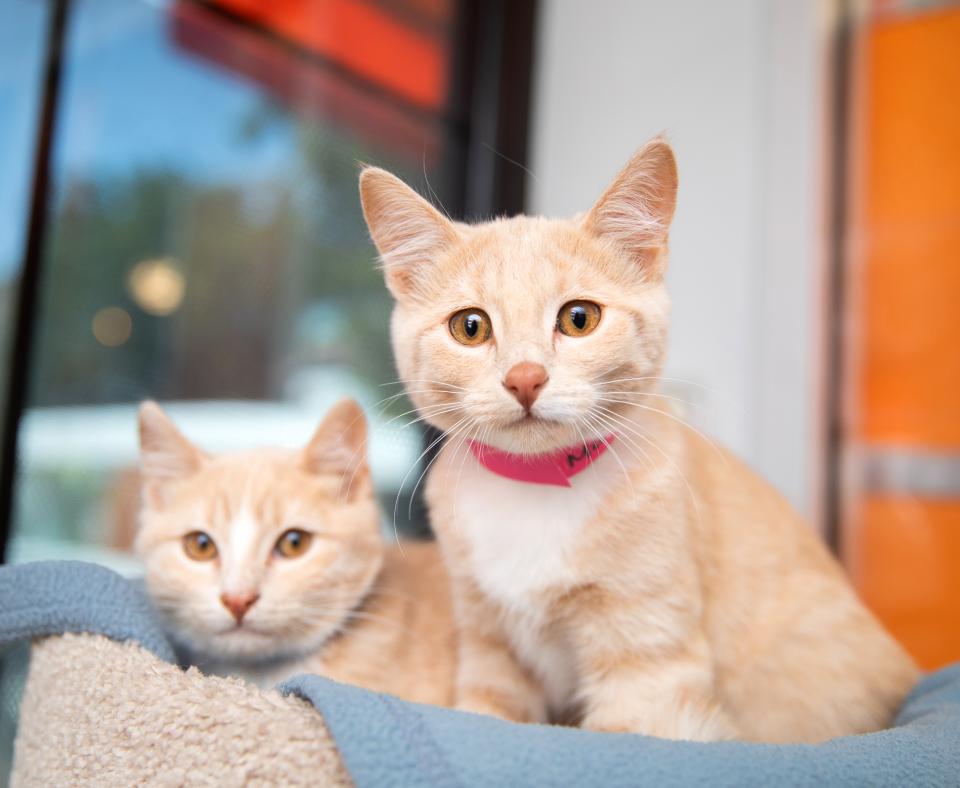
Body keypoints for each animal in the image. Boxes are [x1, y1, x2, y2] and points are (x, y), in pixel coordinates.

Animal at [356, 139, 920, 740]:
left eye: (579, 319)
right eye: (470, 327)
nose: (525, 378)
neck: (538, 488)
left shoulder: (649, 670)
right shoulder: (489, 645)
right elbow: (483, 714)